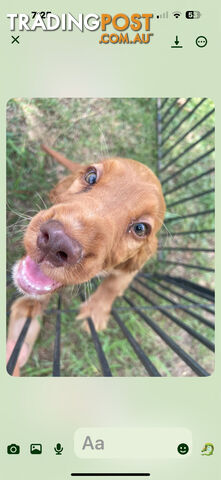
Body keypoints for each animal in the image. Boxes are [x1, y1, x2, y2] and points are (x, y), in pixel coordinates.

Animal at [6, 146, 165, 376]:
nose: (56, 242)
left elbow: (112, 286)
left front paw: (95, 311)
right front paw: (29, 305)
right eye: (91, 176)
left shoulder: (129, 269)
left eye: (140, 228)